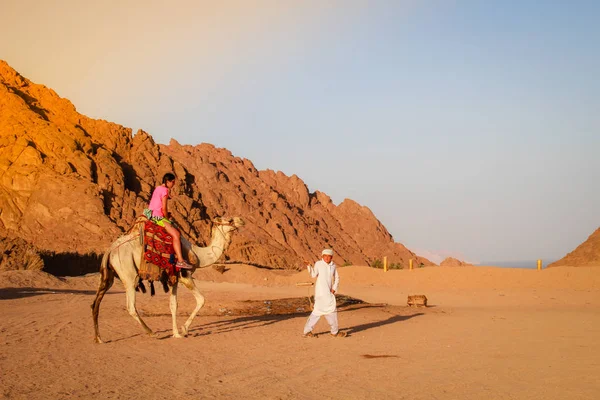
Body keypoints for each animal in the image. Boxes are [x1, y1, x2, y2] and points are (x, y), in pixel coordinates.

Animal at [89, 217, 244, 342]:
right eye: (230, 220)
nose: (241, 220)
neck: (198, 254)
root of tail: (110, 250)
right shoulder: (185, 276)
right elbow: (201, 300)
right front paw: (184, 330)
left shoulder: (174, 279)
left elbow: (173, 305)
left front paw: (176, 333)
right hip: (129, 274)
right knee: (131, 306)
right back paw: (152, 333)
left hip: (108, 275)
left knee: (96, 302)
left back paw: (99, 338)